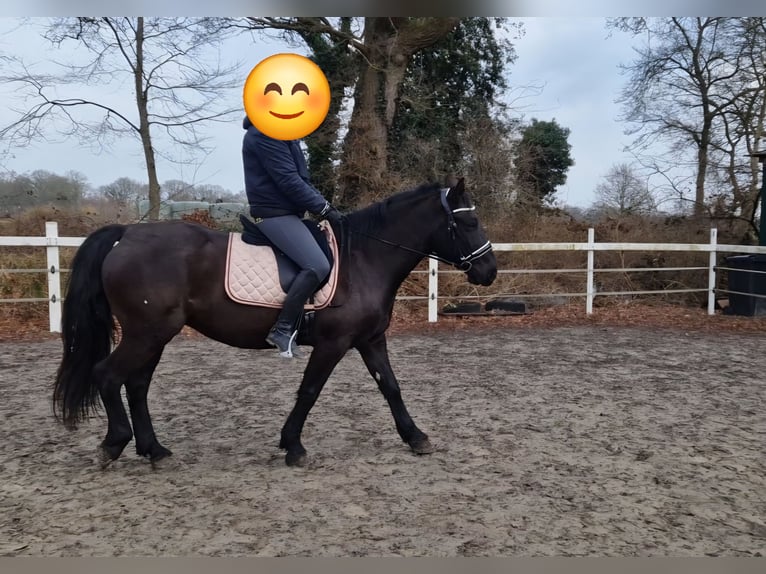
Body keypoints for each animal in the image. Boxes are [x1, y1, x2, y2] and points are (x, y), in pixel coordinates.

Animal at [53, 178, 497, 467]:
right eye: (470, 223)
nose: (489, 271)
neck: (365, 257)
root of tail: (125, 235)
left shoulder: (370, 339)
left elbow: (390, 387)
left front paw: (416, 437)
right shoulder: (334, 343)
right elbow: (310, 391)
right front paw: (294, 447)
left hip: (154, 335)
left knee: (137, 384)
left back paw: (155, 451)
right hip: (147, 333)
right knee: (108, 375)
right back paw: (114, 445)